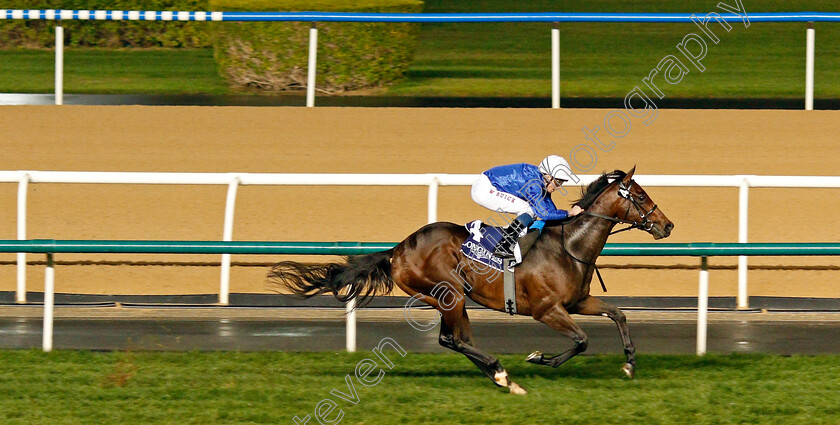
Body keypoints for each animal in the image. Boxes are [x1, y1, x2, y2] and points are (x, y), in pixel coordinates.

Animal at [272, 167, 672, 392]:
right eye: (639, 195)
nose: (667, 225)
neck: (568, 245)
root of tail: (397, 250)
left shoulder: (577, 302)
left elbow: (619, 314)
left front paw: (629, 362)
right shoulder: (547, 310)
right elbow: (582, 341)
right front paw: (540, 358)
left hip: (452, 298)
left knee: (459, 340)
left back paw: (501, 377)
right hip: (448, 294)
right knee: (451, 339)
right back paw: (500, 372)